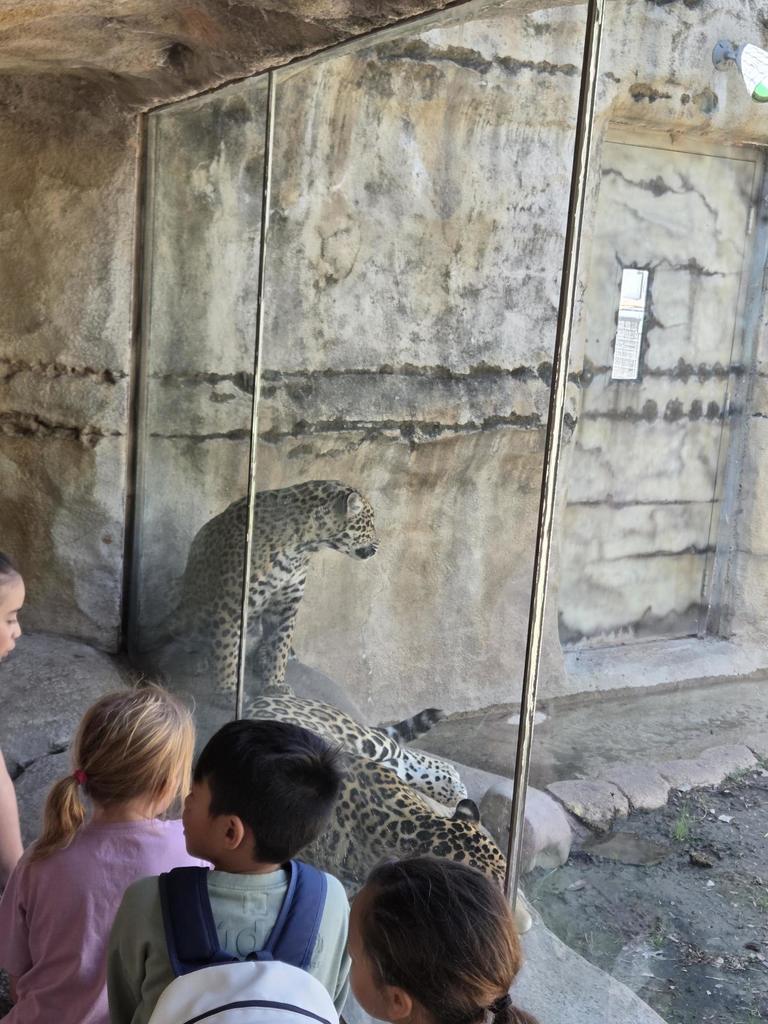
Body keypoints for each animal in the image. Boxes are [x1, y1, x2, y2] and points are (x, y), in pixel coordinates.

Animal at [144, 480, 378, 695]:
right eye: (370, 523)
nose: (379, 544)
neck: (301, 547)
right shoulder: (232, 602)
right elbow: (227, 646)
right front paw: (227, 691)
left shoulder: (287, 604)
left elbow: (281, 646)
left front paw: (275, 683)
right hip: (176, 593)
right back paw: (194, 660)